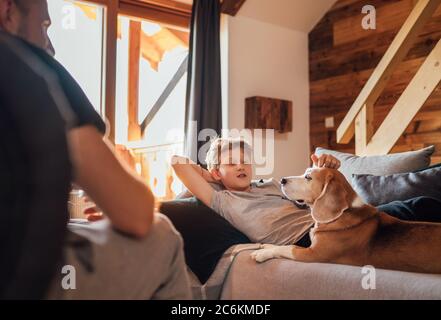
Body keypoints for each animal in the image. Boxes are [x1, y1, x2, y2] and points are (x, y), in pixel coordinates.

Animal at [249, 166, 440, 274]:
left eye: (308, 177)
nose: (282, 180)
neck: (342, 215)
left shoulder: (313, 254)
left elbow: (289, 247)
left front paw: (262, 254)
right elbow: (283, 245)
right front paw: (265, 246)